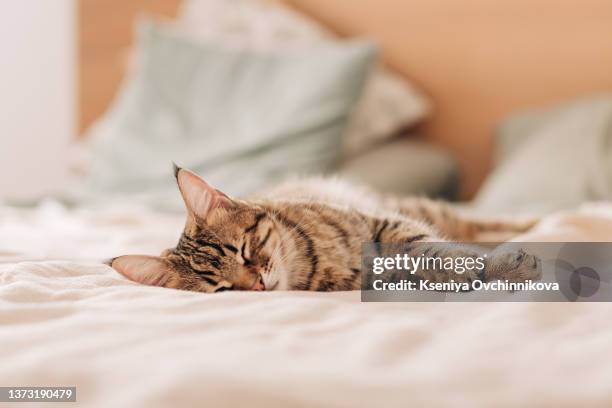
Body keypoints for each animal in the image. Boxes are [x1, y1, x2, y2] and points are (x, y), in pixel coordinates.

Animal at [111, 166, 540, 294]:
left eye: (244, 251)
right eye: (222, 289)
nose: (258, 285)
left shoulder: (385, 222)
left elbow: (429, 247)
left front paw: (498, 266)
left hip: (415, 206)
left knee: (480, 222)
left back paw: (534, 223)